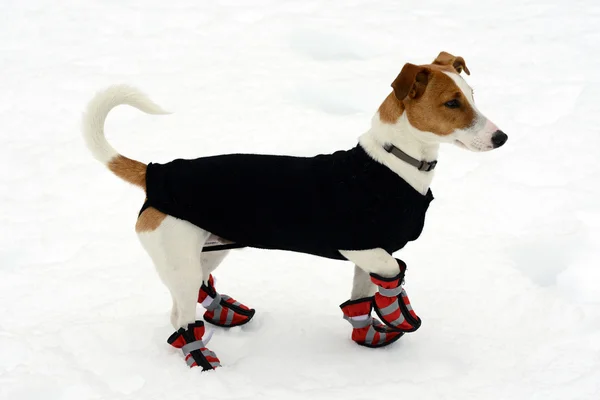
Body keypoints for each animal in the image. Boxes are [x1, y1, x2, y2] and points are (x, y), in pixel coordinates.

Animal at [83, 51, 506, 370]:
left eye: (473, 95)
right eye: (451, 103)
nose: (501, 137)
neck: (392, 164)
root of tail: (156, 172)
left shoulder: (367, 254)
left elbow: (362, 295)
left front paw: (368, 332)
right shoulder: (363, 247)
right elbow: (392, 272)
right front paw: (397, 310)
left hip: (207, 249)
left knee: (186, 298)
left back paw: (222, 313)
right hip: (180, 258)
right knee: (182, 317)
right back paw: (201, 357)